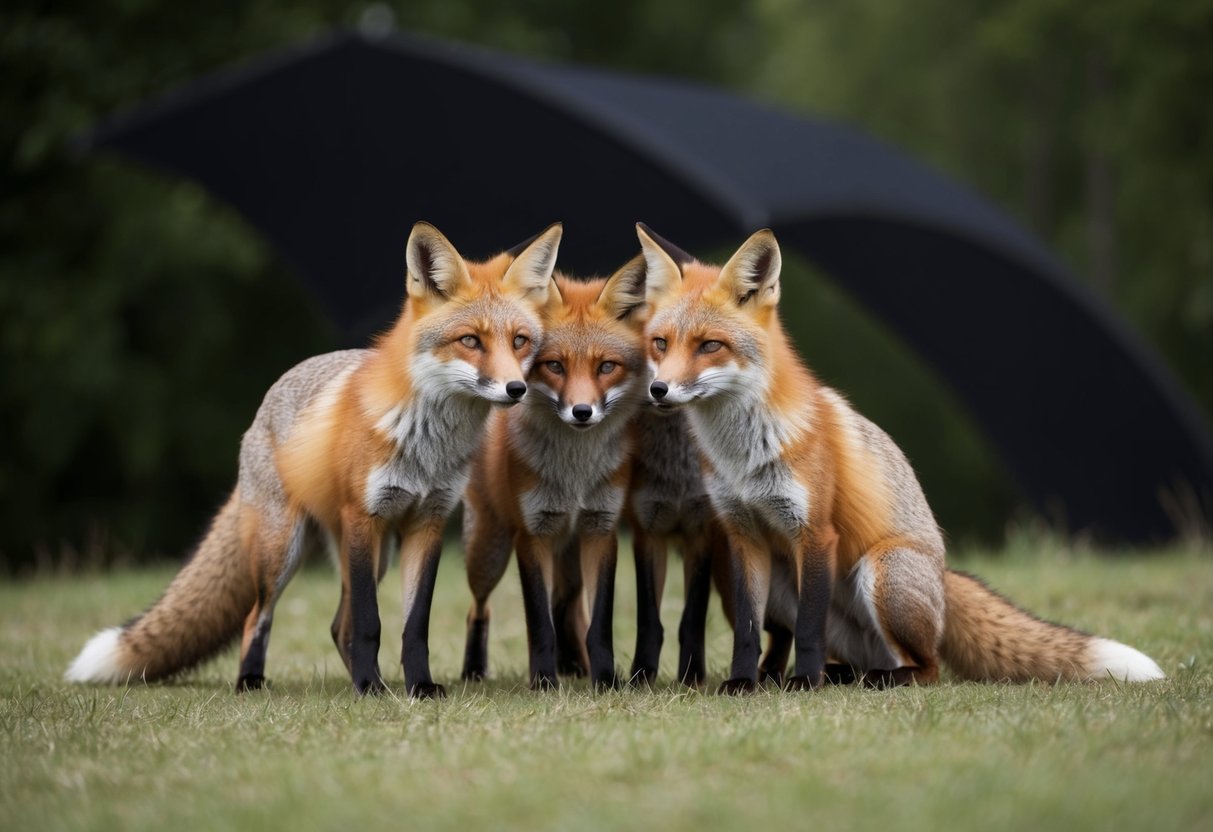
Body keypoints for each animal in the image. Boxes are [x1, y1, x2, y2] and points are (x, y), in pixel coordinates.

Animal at [66, 221, 561, 698]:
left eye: (519, 341)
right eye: (470, 341)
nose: (516, 389)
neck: (426, 445)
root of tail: (265, 404)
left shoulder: (429, 522)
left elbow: (412, 626)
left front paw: (417, 686)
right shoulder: (363, 515)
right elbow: (369, 624)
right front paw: (370, 688)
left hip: (376, 553)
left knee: (337, 626)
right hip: (283, 549)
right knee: (258, 616)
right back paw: (255, 683)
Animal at [460, 260, 649, 690]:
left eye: (606, 367)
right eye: (555, 365)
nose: (582, 412)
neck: (573, 476)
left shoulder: (601, 530)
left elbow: (599, 625)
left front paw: (605, 680)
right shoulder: (532, 535)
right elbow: (539, 623)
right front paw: (544, 681)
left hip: (569, 555)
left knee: (567, 604)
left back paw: (576, 665)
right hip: (487, 552)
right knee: (478, 608)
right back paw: (474, 671)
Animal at [637, 224, 1166, 692]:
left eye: (710, 345)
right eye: (660, 343)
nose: (658, 390)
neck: (743, 454)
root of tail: (944, 577)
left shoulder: (816, 534)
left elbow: (807, 630)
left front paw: (803, 685)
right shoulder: (742, 535)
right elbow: (747, 631)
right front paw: (743, 684)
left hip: (882, 572)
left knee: (925, 667)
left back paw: (858, 680)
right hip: (787, 587)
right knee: (848, 655)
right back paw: (814, 677)